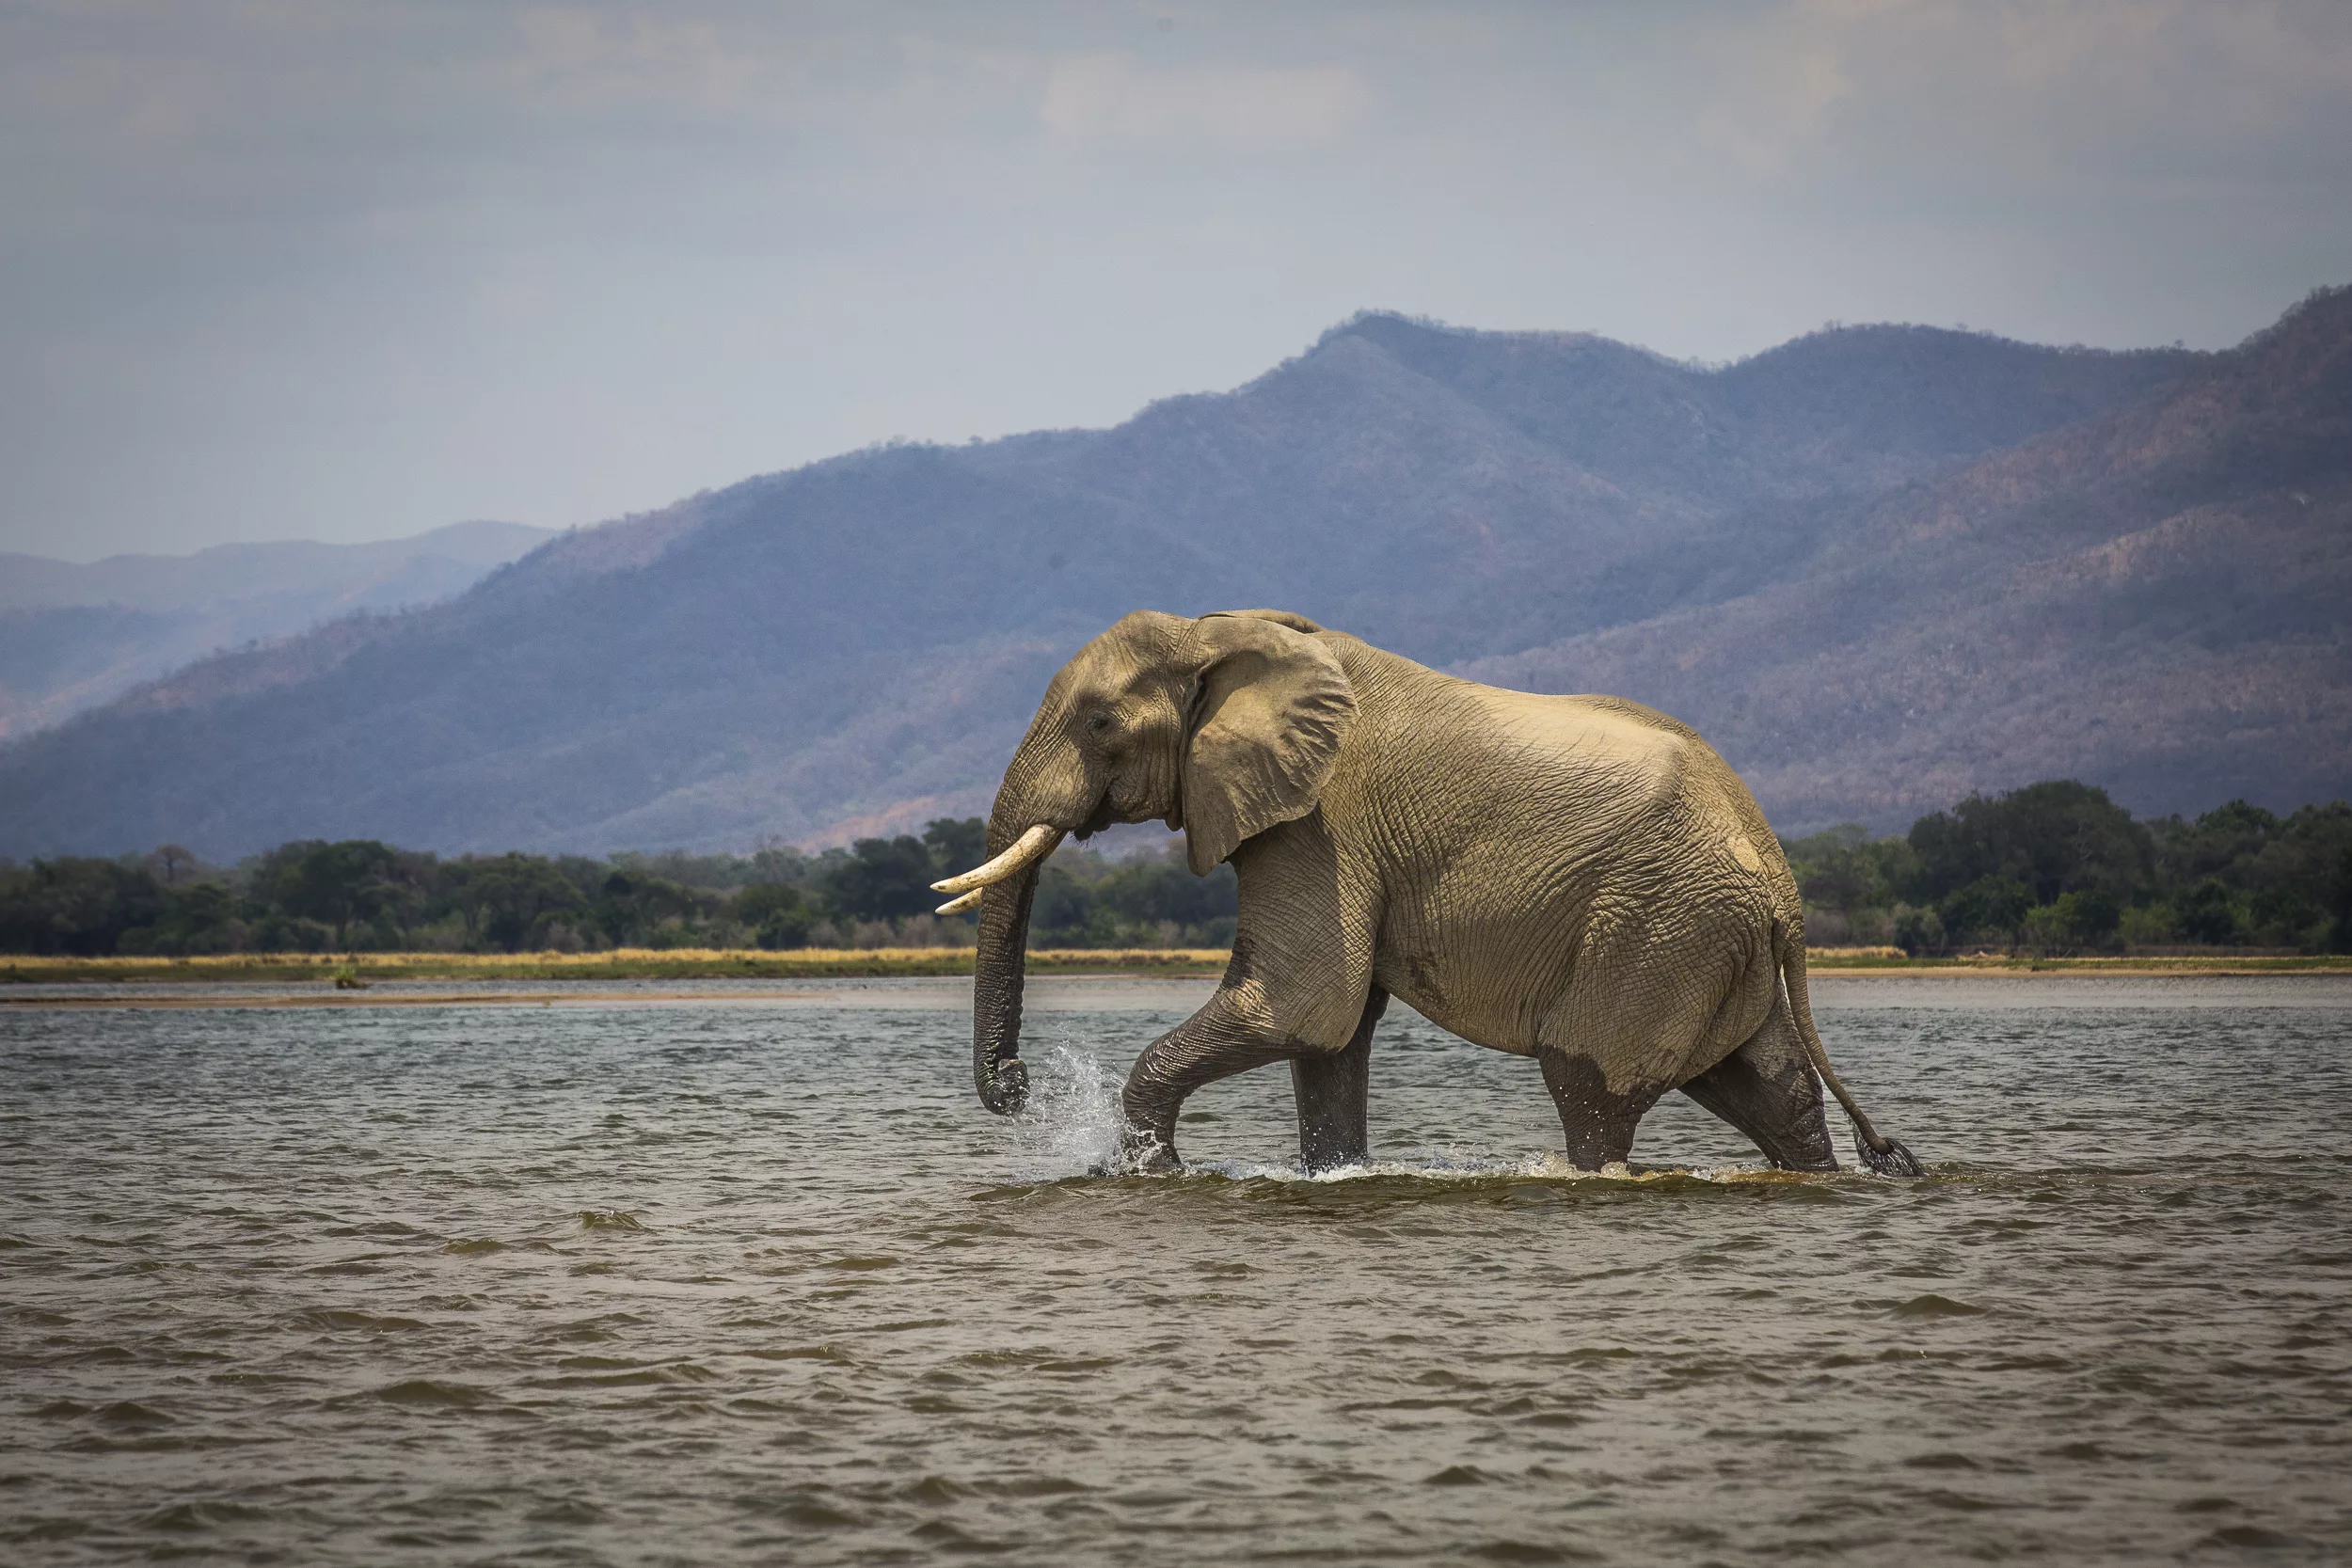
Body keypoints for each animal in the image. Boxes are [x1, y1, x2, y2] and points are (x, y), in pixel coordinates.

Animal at [941, 610, 1929, 1175]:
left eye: (1100, 721)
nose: (1017, 1083)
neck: (1224, 632)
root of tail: (1785, 887)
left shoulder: (1322, 820)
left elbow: (1304, 1003)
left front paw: (1151, 1175)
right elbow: (1330, 1036)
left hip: (1656, 928)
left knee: (1591, 1092)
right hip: (1710, 939)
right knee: (1771, 1089)